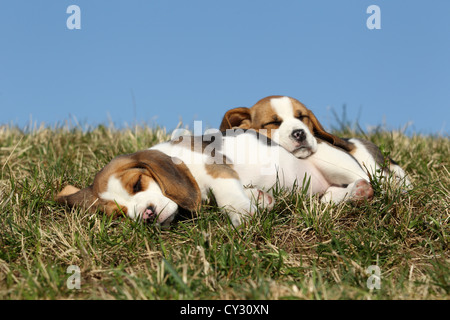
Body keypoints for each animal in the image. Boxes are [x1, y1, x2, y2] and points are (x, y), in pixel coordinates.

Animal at [55, 129, 372, 226]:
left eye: (137, 184)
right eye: (119, 215)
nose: (146, 215)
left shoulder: (217, 169)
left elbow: (226, 196)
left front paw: (243, 215)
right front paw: (260, 200)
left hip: (325, 156)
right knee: (324, 199)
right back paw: (350, 195)